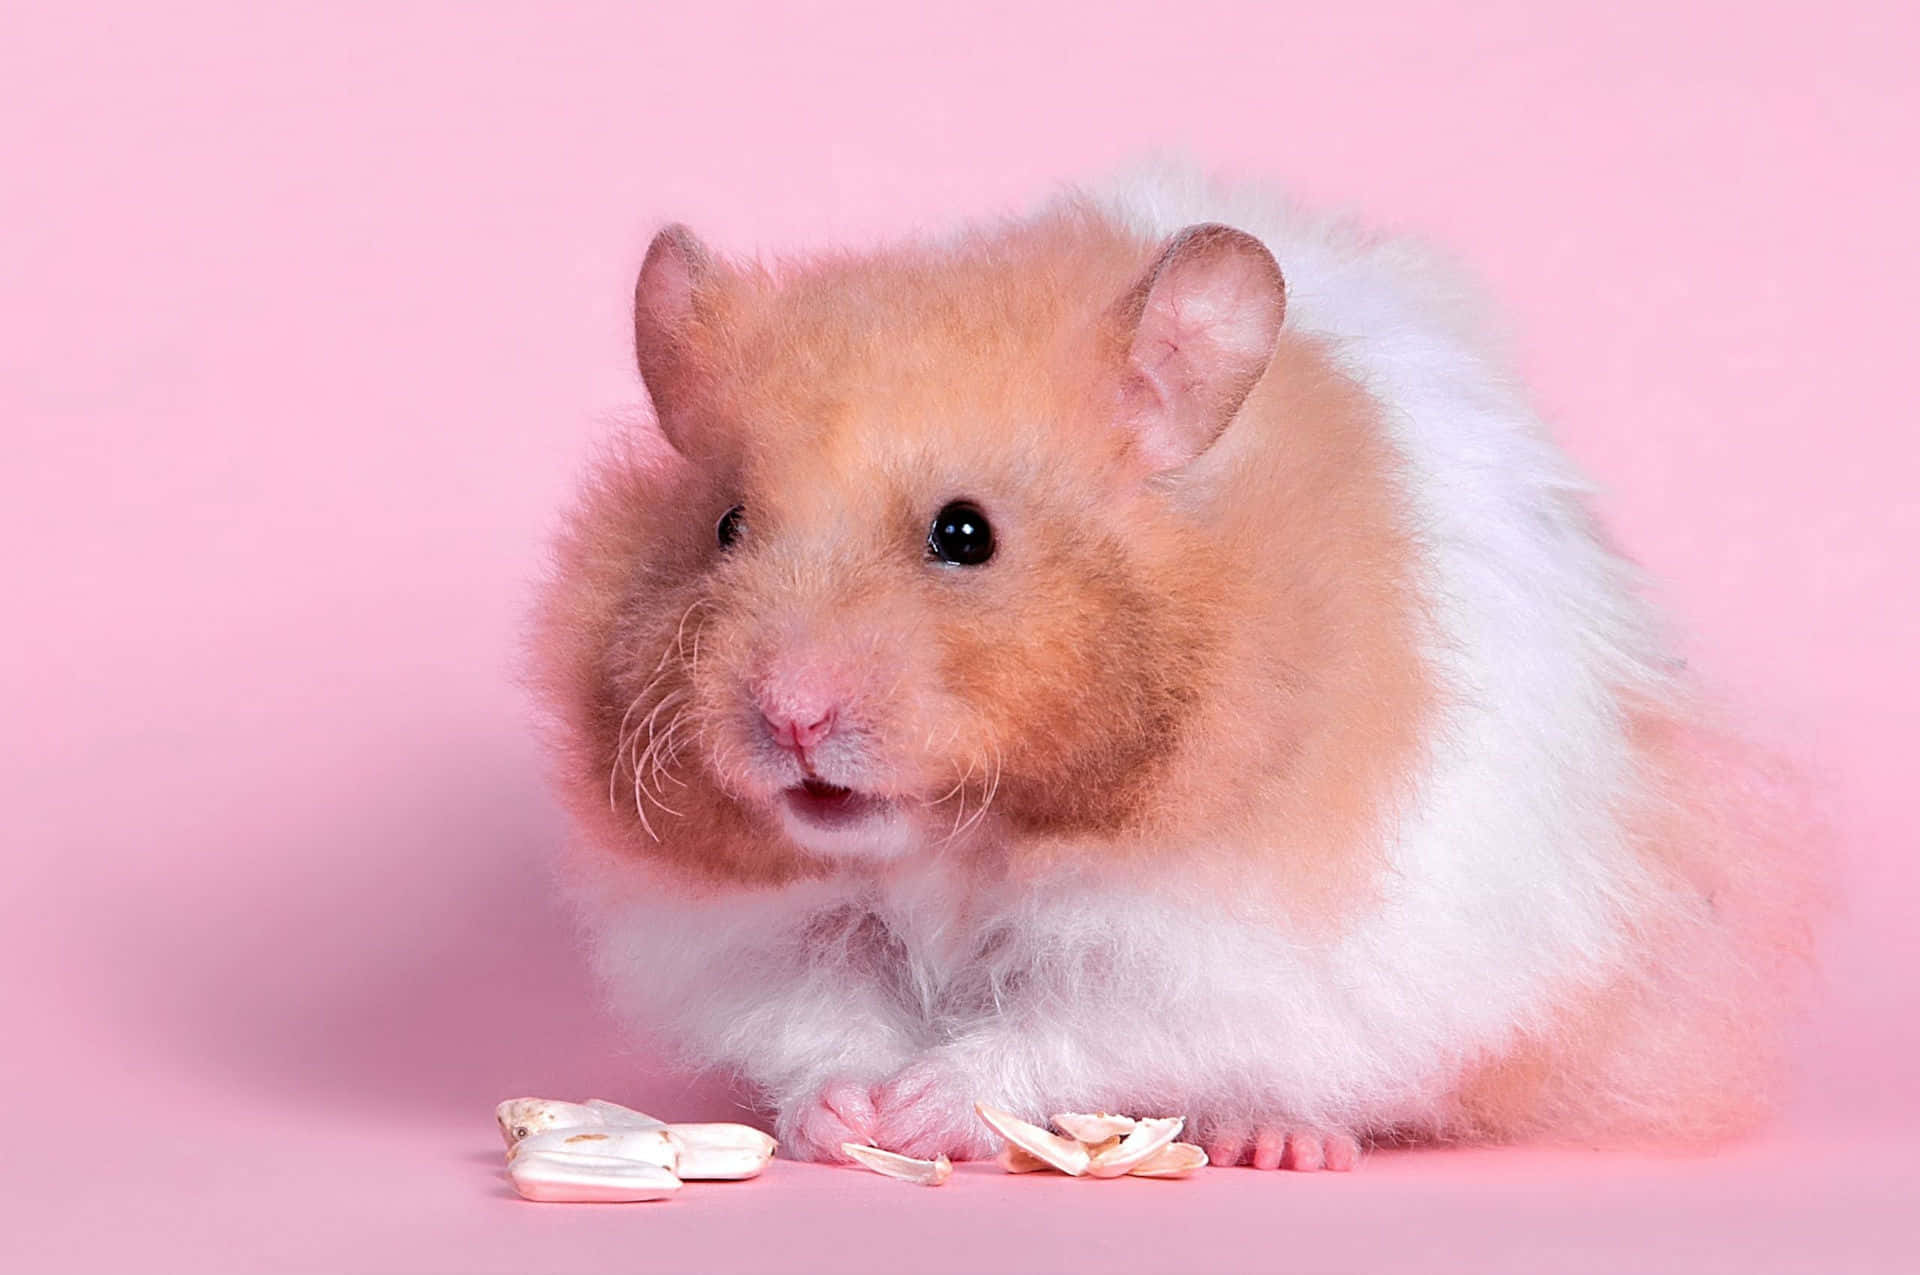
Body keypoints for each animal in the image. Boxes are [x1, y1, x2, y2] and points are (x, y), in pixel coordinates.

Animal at [530, 166, 1820, 1171]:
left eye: (964, 534)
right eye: (726, 526)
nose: (789, 718)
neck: (961, 841)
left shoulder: (1211, 945)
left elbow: (1071, 1027)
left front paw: (929, 1107)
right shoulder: (759, 934)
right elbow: (818, 1017)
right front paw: (850, 1115)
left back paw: (1279, 1140)